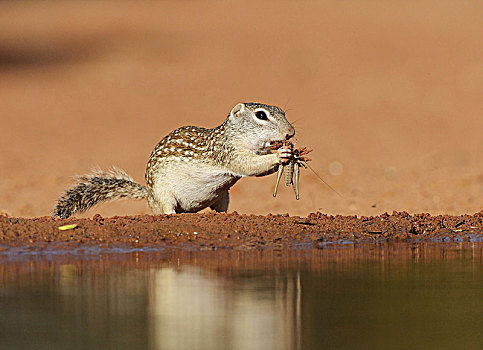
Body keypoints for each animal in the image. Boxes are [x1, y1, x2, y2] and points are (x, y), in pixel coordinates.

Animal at [53, 102, 294, 219]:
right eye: (261, 115)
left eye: (283, 112)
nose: (290, 133)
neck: (231, 135)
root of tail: (149, 195)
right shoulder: (227, 153)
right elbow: (250, 166)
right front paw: (281, 154)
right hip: (164, 193)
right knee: (167, 208)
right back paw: (171, 215)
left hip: (223, 197)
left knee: (220, 210)